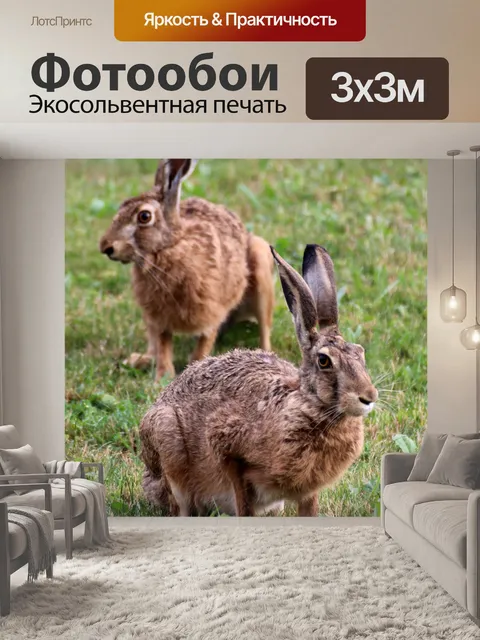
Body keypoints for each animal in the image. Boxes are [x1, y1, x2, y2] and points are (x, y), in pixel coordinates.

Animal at [99, 159, 274, 381]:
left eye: (144, 216)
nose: (105, 247)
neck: (169, 248)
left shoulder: (212, 312)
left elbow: (203, 346)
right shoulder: (158, 316)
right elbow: (164, 346)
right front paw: (163, 378)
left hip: (261, 268)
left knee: (265, 329)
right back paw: (139, 360)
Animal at [140, 244, 378, 517]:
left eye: (360, 352)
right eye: (324, 361)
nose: (369, 397)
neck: (306, 405)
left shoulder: (308, 489)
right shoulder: (227, 449)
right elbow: (243, 503)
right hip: (167, 442)